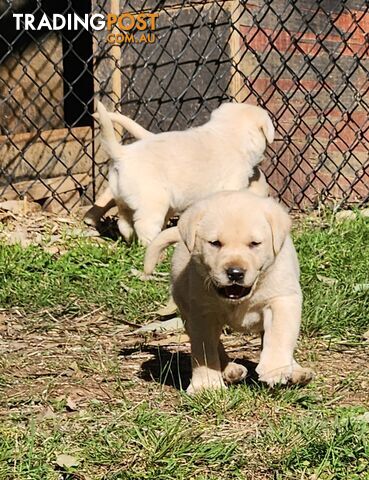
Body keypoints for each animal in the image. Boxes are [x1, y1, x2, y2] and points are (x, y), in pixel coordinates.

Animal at [94, 101, 274, 244]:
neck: (227, 133)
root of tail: (122, 153)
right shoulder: (232, 185)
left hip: (122, 199)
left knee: (124, 223)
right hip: (152, 202)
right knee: (145, 226)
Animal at [144, 190, 314, 394]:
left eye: (255, 244)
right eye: (215, 243)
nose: (235, 272)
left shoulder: (282, 299)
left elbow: (279, 334)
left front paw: (276, 369)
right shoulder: (203, 312)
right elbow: (204, 350)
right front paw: (206, 384)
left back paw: (296, 371)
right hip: (185, 307)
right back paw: (229, 369)